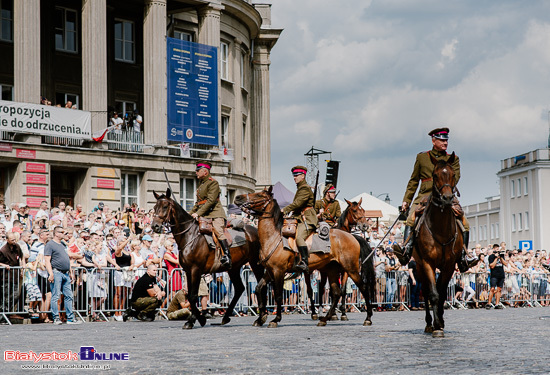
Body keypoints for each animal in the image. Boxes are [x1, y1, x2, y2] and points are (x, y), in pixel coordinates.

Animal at [152, 189, 266, 330]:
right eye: (154, 207)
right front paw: (197, 319)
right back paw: (226, 317)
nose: (155, 226)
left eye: (165, 206)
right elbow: (192, 296)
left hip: (255, 263)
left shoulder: (195, 270)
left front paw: (195, 320)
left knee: (260, 285)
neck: (190, 236)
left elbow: (193, 296)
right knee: (240, 288)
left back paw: (261, 317)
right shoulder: (188, 271)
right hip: (233, 267)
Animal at [235, 188, 378, 328]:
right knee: (335, 292)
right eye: (355, 210)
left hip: (350, 269)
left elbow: (278, 295)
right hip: (332, 270)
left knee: (363, 287)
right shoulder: (270, 272)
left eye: (259, 195)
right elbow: (258, 289)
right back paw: (323, 318)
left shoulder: (278, 271)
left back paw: (368, 318)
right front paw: (261, 318)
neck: (274, 237)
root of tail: (352, 236)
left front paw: (275, 319)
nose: (238, 198)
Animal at [414, 153, 466, 338]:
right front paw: (436, 326)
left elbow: (442, 293)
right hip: (419, 266)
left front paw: (441, 323)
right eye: (435, 175)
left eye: (453, 174)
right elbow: (434, 294)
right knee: (426, 292)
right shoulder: (427, 263)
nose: (447, 198)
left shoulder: (449, 265)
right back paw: (429, 324)